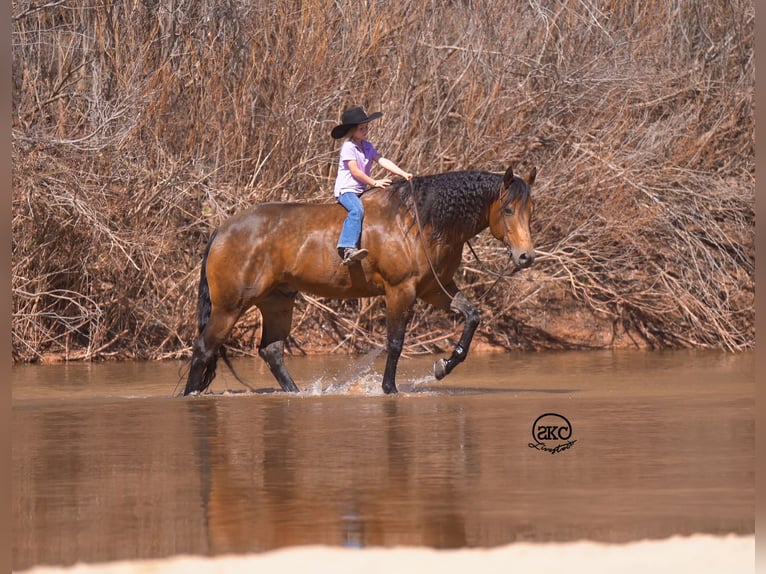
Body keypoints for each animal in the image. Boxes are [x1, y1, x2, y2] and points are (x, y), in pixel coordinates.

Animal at [183, 166, 536, 398]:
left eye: (530, 210)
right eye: (508, 209)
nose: (525, 257)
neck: (418, 222)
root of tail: (222, 229)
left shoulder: (434, 288)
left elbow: (472, 315)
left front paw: (445, 365)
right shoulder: (400, 291)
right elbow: (395, 342)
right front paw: (389, 388)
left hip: (276, 302)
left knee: (271, 352)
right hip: (230, 306)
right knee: (203, 348)